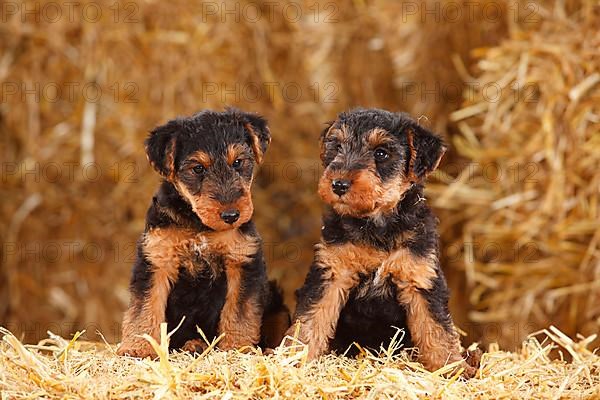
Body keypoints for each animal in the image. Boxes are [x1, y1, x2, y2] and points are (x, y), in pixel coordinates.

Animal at [118, 108, 290, 358]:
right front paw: (138, 348)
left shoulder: (242, 260)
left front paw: (237, 348)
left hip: (278, 308)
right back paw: (194, 345)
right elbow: (144, 308)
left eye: (238, 162)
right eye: (198, 168)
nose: (231, 215)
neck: (199, 225)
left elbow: (240, 312)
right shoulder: (157, 260)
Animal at [288, 108, 476, 376]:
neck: (377, 225)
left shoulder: (420, 278)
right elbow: (310, 321)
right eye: (337, 146)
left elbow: (437, 330)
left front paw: (450, 369)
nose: (338, 184)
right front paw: (293, 360)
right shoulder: (332, 272)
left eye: (381, 153)